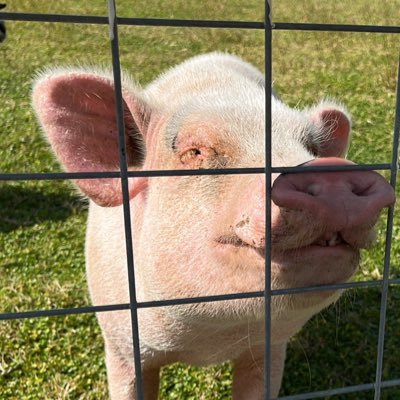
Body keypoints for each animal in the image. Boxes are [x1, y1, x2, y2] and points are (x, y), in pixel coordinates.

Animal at [32, 54, 394, 400]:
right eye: (195, 151)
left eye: (312, 148)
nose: (331, 170)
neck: (210, 342)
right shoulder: (121, 345)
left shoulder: (269, 349)